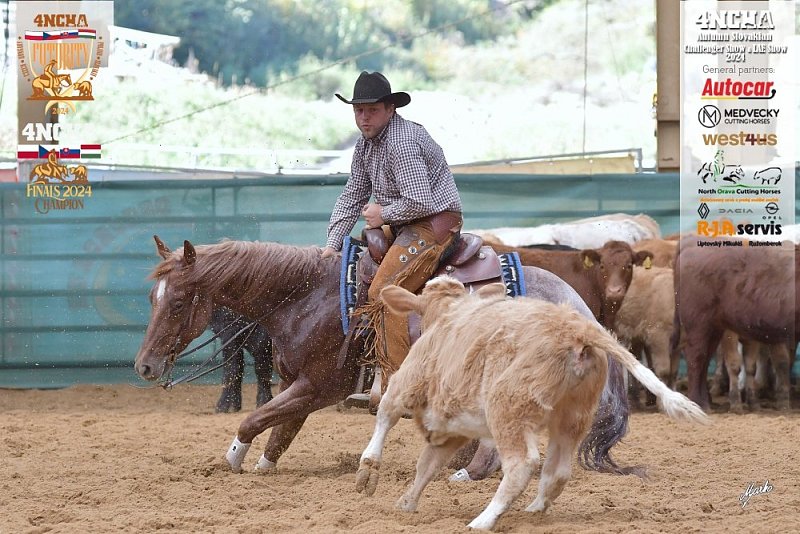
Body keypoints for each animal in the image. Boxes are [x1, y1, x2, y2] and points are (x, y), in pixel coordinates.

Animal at [134, 236, 634, 476]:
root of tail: (570, 300)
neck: (305, 297)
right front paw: (262, 465)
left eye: (177, 303)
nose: (144, 366)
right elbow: (280, 432)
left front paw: (233, 460)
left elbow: (254, 420)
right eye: (152, 298)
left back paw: (468, 472)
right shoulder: (301, 388)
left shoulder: (317, 387)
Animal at [355, 277, 708, 531]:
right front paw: (406, 503)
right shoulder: (449, 429)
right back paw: (535, 509)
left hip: (507, 409)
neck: (446, 315)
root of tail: (576, 328)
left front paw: (367, 472)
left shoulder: (407, 384)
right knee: (559, 470)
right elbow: (427, 466)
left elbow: (385, 415)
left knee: (522, 464)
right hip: (573, 416)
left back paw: (483, 520)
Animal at [672, 238, 797, 410]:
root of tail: (690, 241)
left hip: (714, 328)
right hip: (698, 324)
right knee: (696, 358)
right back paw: (697, 402)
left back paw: (705, 402)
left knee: (705, 359)